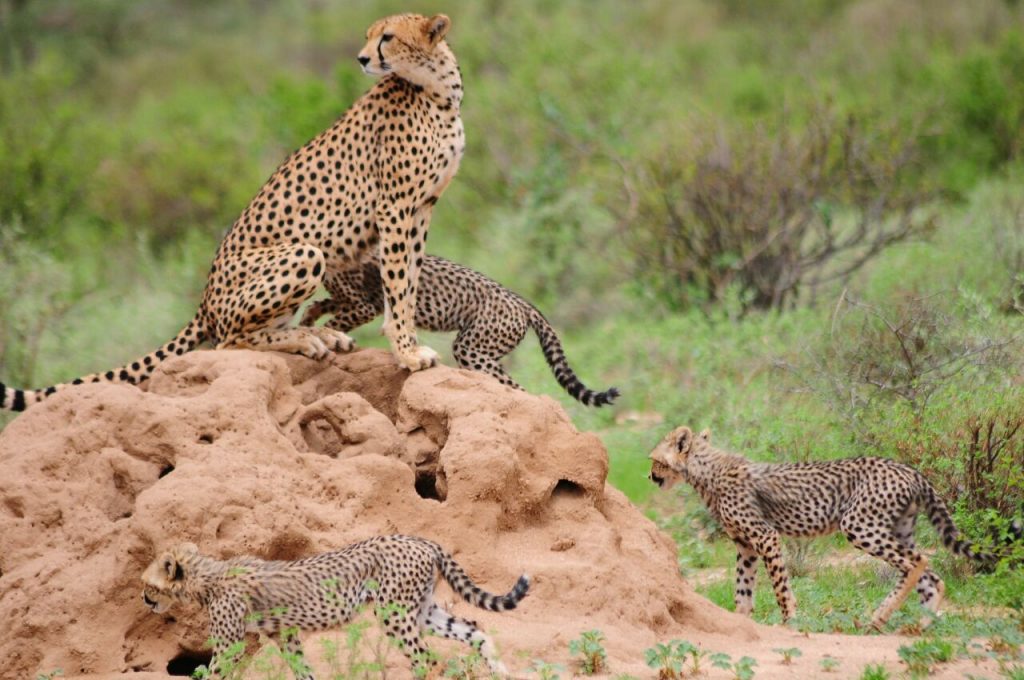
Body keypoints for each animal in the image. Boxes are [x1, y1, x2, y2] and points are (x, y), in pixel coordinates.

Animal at [0, 13, 464, 411]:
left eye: (387, 36)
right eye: (370, 35)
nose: (363, 58)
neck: (438, 91)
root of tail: (205, 298)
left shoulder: (422, 207)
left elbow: (407, 279)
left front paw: (401, 342)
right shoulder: (396, 208)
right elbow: (399, 282)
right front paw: (407, 351)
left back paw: (319, 333)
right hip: (303, 254)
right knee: (227, 339)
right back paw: (306, 340)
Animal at [141, 532, 532, 675]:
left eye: (148, 584)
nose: (143, 598)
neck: (207, 576)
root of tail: (419, 539)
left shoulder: (229, 646)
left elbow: (215, 672)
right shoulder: (285, 635)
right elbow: (301, 669)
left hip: (394, 615)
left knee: (426, 657)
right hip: (420, 610)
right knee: (474, 629)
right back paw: (499, 671)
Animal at [299, 253, 618, 403]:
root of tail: (522, 301)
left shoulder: (366, 305)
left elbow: (336, 320)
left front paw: (328, 336)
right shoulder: (353, 300)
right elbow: (322, 305)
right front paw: (307, 322)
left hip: (471, 345)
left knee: (515, 387)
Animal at [643, 428, 1011, 630]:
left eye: (653, 459)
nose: (650, 476)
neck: (705, 470)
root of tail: (907, 467)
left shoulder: (765, 536)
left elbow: (780, 587)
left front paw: (790, 622)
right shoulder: (745, 545)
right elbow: (742, 591)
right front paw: (741, 624)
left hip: (859, 525)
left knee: (916, 562)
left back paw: (879, 617)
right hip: (899, 530)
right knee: (930, 574)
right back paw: (916, 625)